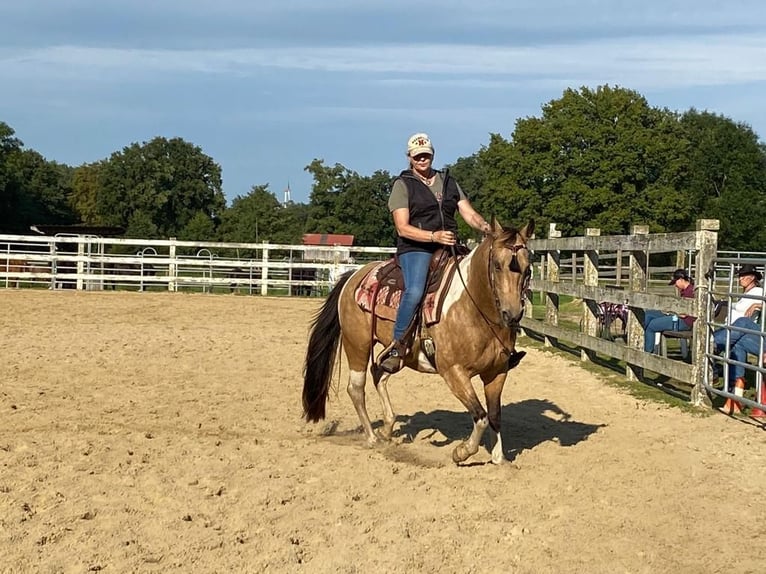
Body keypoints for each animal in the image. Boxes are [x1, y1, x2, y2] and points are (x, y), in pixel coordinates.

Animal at [300, 218, 536, 466]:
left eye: (527, 268)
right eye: (497, 265)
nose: (512, 314)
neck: (473, 307)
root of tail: (354, 276)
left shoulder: (497, 372)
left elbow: (494, 416)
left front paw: (499, 458)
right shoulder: (454, 372)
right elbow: (480, 416)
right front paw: (461, 451)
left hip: (396, 353)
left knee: (379, 373)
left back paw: (387, 428)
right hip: (357, 344)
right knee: (356, 388)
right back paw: (372, 438)